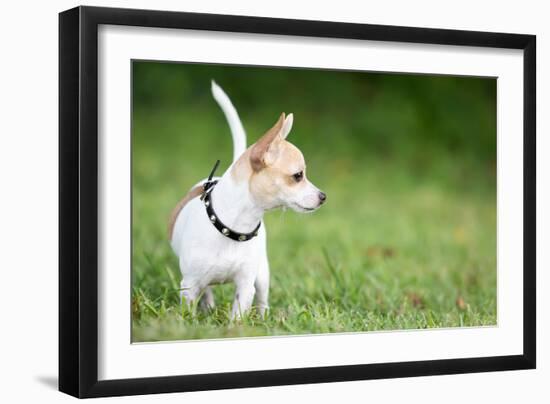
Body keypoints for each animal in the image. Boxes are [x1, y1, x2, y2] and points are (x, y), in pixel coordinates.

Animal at [168, 82, 328, 318]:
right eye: (298, 176)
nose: (323, 197)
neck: (232, 227)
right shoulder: (189, 286)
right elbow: (189, 310)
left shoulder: (245, 286)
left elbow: (238, 316)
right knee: (208, 291)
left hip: (262, 274)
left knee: (262, 299)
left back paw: (263, 318)